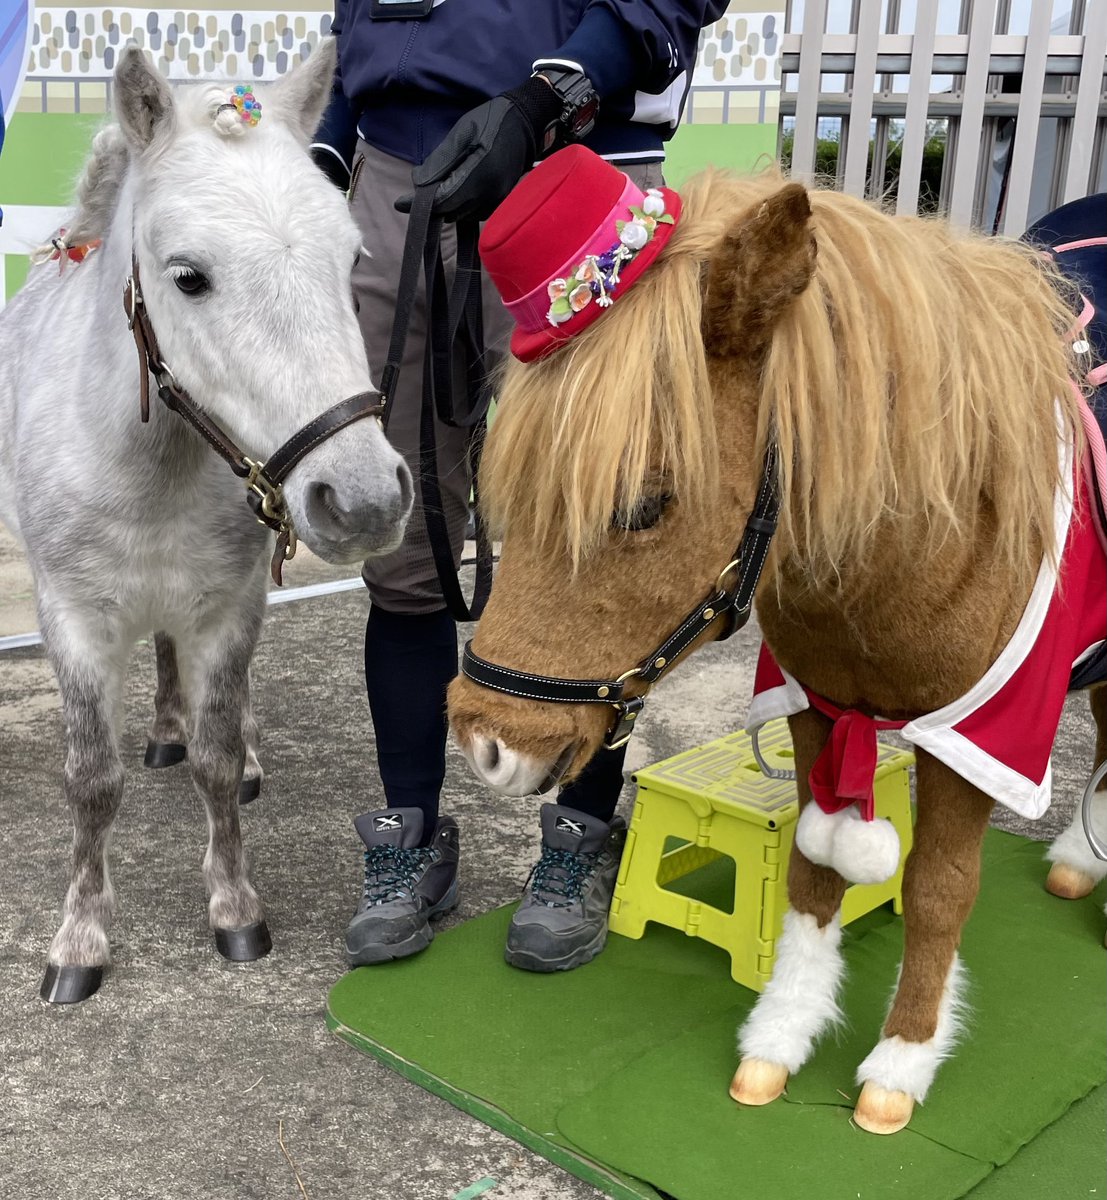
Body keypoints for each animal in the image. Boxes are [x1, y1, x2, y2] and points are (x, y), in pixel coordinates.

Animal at [0, 43, 413, 1004]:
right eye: (189, 276)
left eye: (351, 261)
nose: (365, 499)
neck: (149, 467)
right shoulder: (72, 619)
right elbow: (92, 781)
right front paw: (80, 939)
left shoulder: (228, 607)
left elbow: (218, 760)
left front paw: (234, 908)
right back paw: (159, 731)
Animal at [446, 167, 1106, 1134]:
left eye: (642, 505)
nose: (485, 745)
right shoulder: (813, 705)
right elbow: (813, 865)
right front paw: (781, 1035)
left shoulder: (977, 737)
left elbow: (938, 890)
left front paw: (901, 1061)